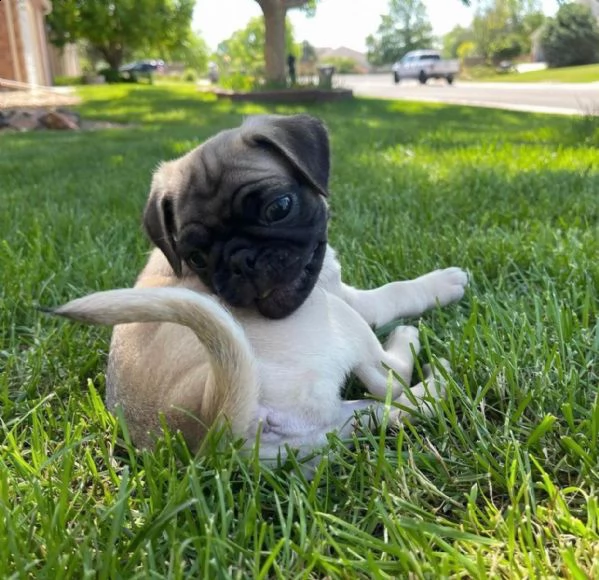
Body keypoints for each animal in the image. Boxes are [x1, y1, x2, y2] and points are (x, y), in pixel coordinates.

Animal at [52, 113, 468, 462]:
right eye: (196, 257)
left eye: (279, 208)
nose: (243, 261)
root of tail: (213, 423)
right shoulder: (343, 295)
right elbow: (394, 292)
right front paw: (443, 282)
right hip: (335, 318)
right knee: (388, 380)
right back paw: (411, 342)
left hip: (341, 421)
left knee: (399, 410)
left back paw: (437, 384)